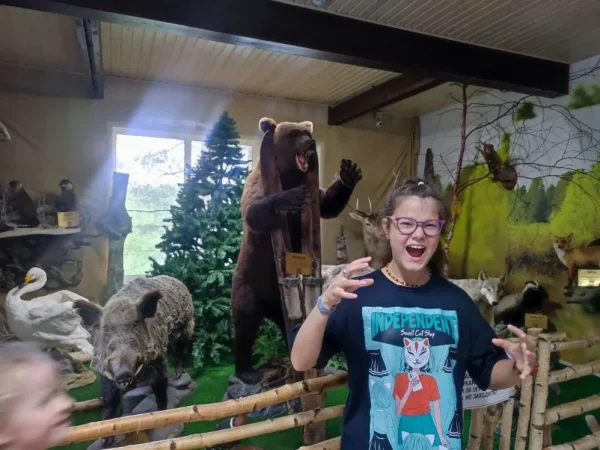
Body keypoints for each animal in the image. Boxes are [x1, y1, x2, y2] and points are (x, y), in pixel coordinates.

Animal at [231, 117, 363, 383]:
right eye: (294, 133)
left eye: (306, 131)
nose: (310, 142)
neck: (289, 174)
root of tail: (269, 304)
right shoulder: (258, 184)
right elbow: (253, 211)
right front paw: (288, 197)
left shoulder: (313, 195)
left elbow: (328, 203)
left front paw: (348, 173)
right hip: (249, 282)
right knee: (245, 322)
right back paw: (246, 371)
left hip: (280, 301)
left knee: (289, 327)